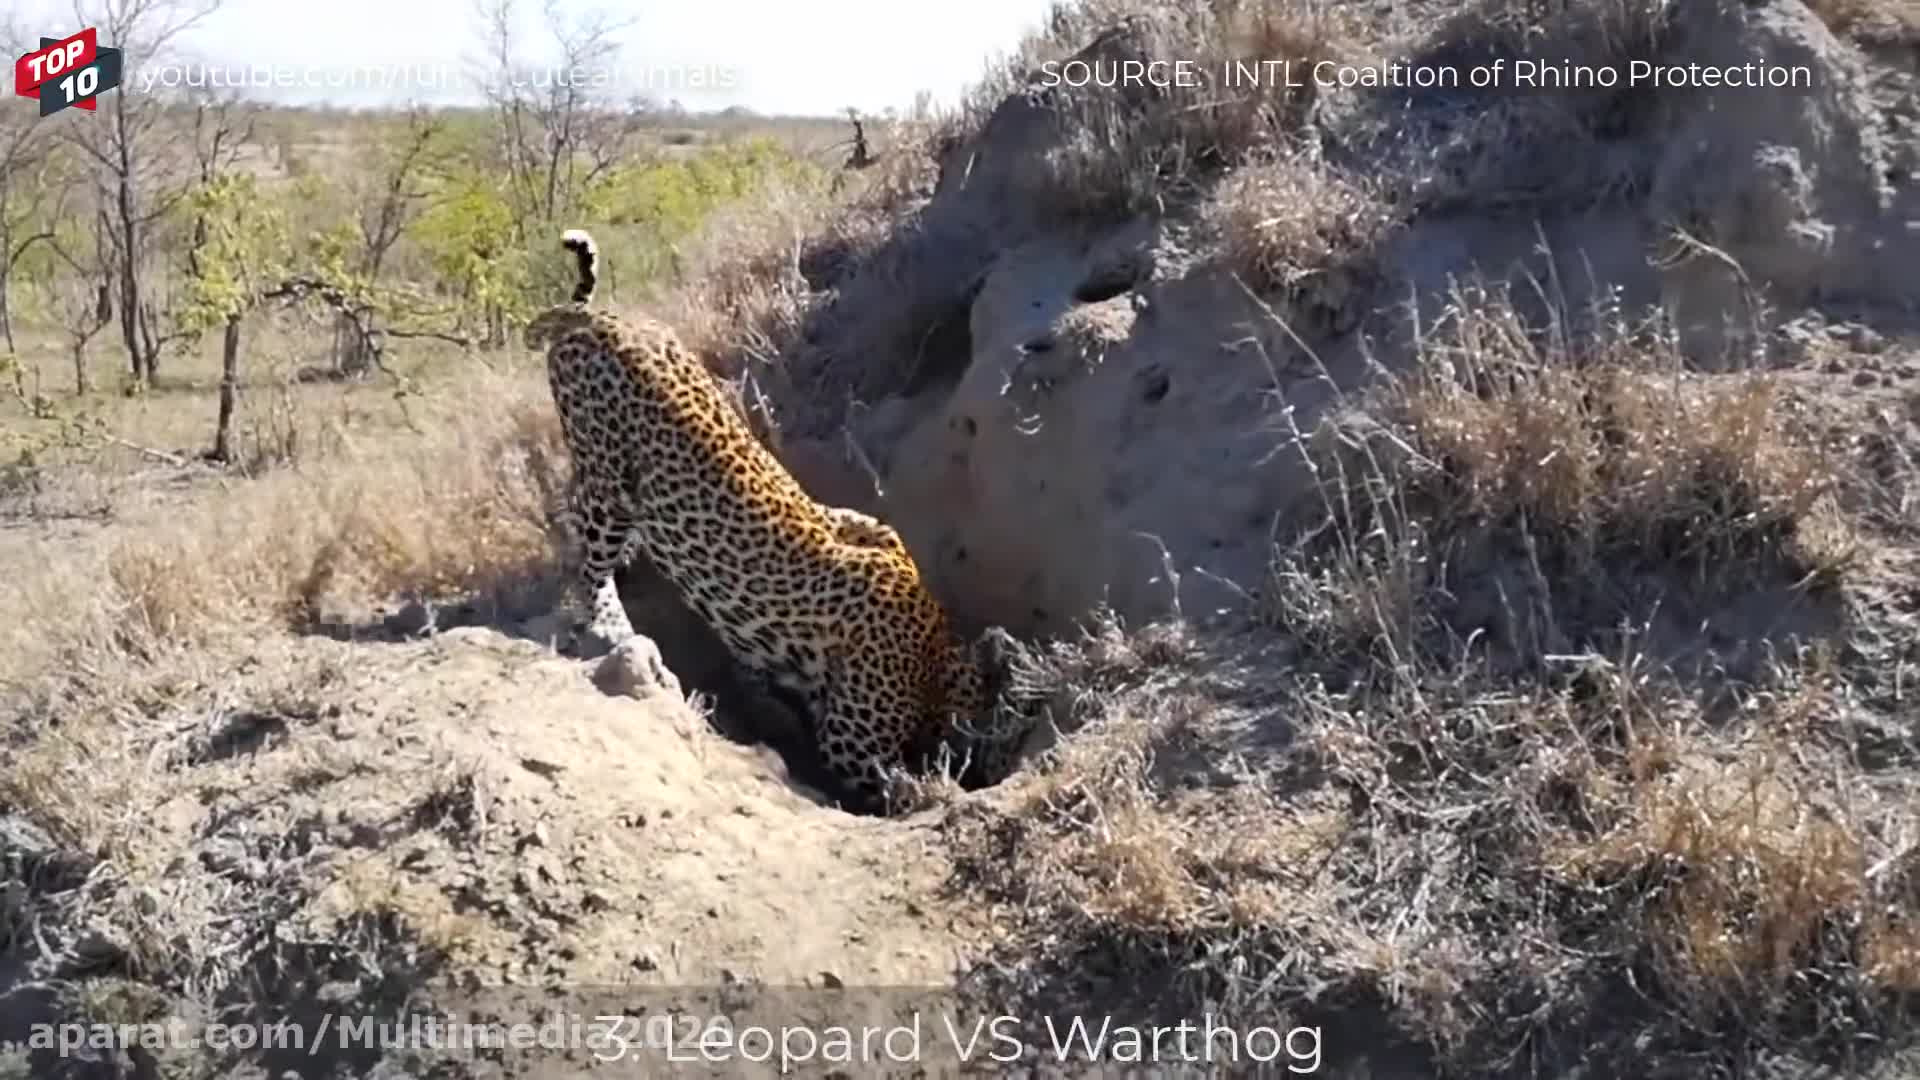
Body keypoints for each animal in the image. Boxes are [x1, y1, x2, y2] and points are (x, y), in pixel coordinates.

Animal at [524, 228, 1015, 813]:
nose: (1001, 763)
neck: (937, 653)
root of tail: (598, 318)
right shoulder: (851, 741)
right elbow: (895, 785)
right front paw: (932, 789)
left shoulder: (867, 529)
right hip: (607, 478)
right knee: (587, 551)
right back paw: (613, 622)